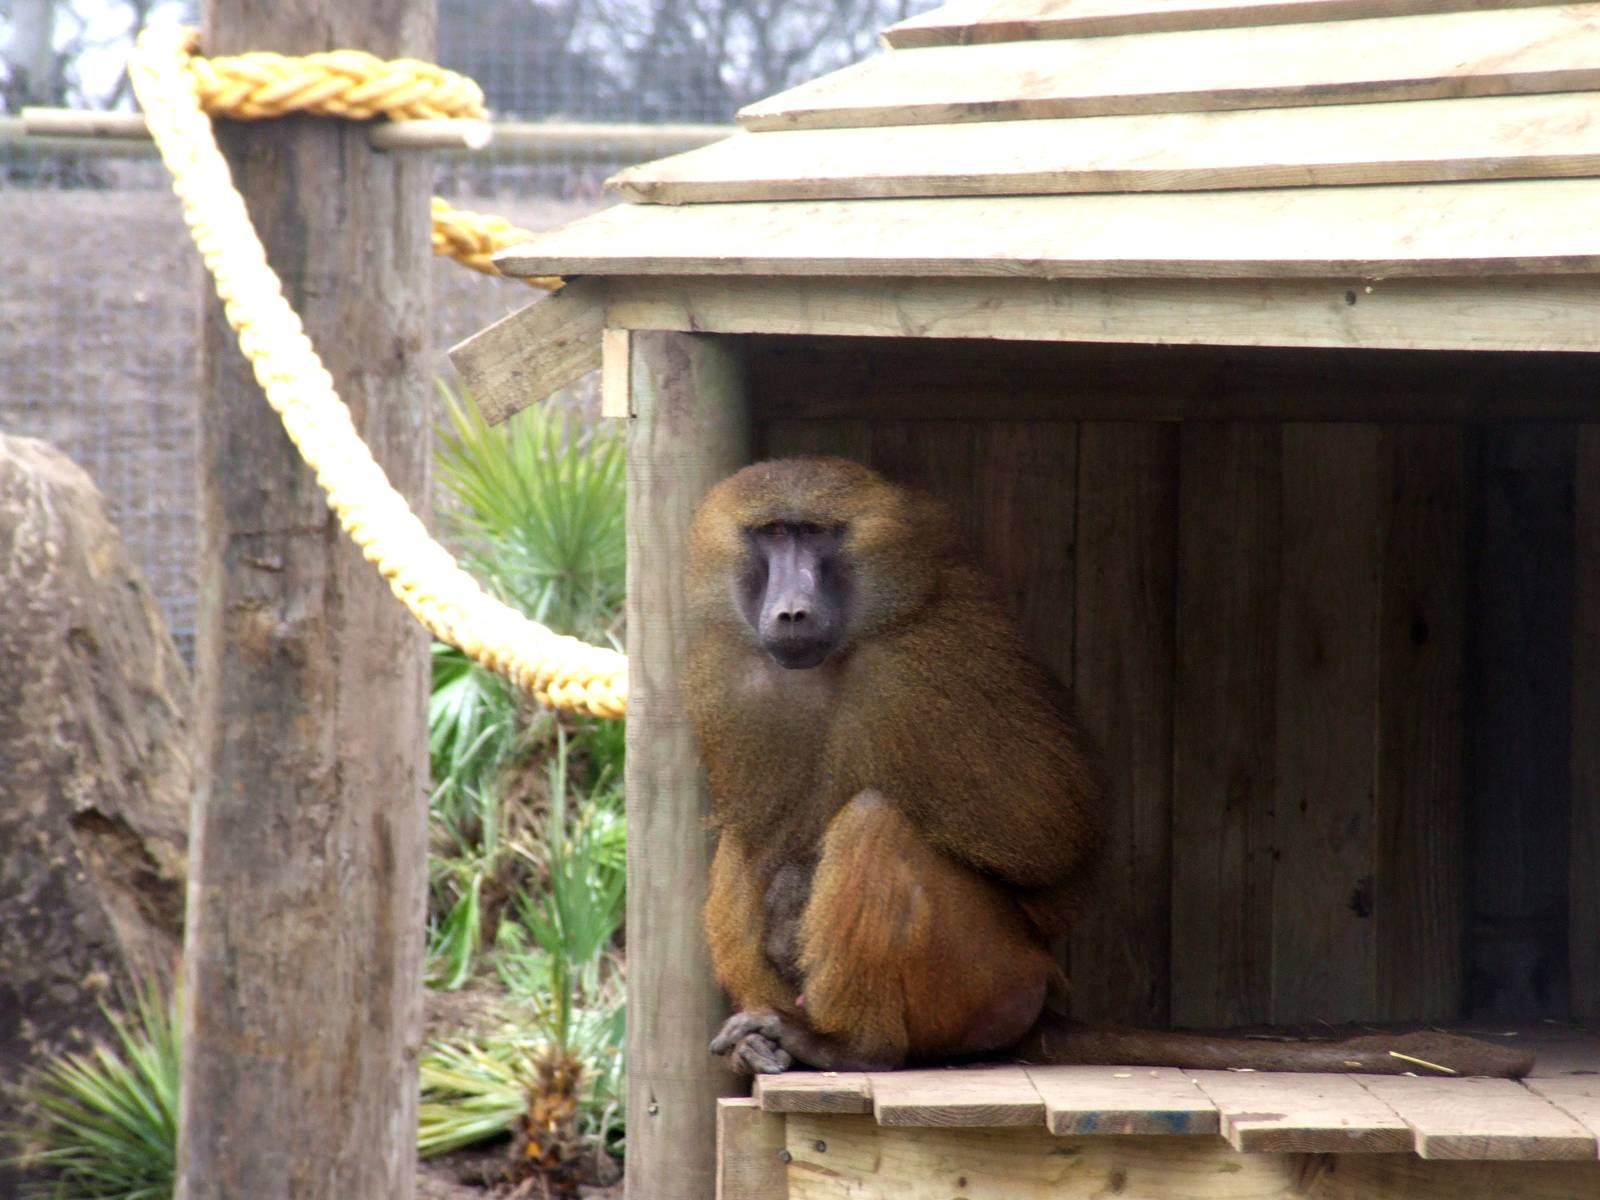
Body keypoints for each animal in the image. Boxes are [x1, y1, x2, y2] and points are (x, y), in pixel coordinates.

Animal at [684, 457, 1532, 1080]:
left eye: (817, 536)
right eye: (772, 536)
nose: (791, 611)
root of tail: (1043, 1002)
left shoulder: (927, 666)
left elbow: (1048, 830)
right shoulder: (735, 678)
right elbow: (760, 830)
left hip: (995, 976)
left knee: (874, 824)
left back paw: (850, 1046)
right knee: (741, 846)